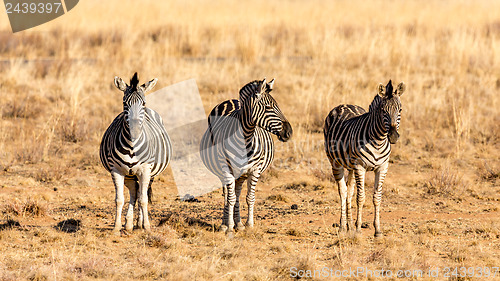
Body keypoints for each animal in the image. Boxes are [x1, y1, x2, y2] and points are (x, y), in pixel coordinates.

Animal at [99, 71, 172, 232]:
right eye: (125, 104)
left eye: (143, 103)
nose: (135, 131)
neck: (132, 146)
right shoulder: (117, 170)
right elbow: (119, 199)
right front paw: (116, 227)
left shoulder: (145, 170)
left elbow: (144, 199)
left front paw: (147, 226)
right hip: (129, 174)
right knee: (134, 192)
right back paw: (130, 224)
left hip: (150, 173)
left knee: (141, 193)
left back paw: (139, 222)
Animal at [200, 78, 292, 232]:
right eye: (268, 107)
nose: (289, 132)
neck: (246, 136)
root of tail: (231, 100)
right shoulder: (227, 169)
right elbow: (230, 199)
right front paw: (229, 227)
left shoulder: (255, 169)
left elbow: (250, 197)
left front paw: (249, 224)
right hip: (223, 172)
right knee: (227, 195)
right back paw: (225, 224)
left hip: (241, 174)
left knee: (237, 194)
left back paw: (239, 223)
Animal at [324, 80, 406, 235]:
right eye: (383, 111)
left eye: (400, 110)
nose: (393, 136)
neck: (379, 140)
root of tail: (343, 104)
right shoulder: (360, 167)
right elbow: (360, 198)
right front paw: (358, 229)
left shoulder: (382, 167)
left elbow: (377, 197)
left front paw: (377, 230)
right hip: (336, 163)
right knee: (343, 192)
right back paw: (343, 227)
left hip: (350, 167)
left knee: (349, 191)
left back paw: (349, 225)